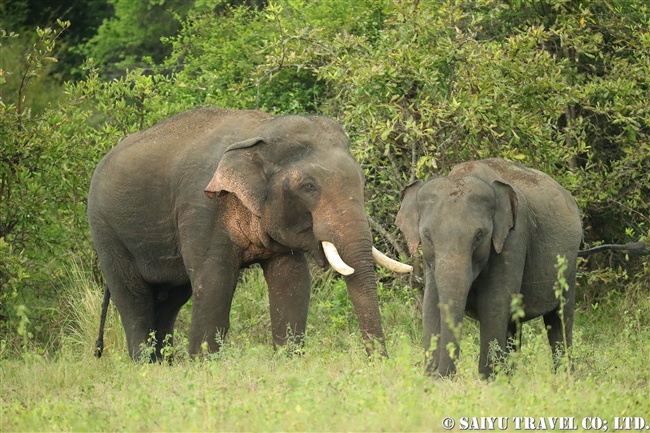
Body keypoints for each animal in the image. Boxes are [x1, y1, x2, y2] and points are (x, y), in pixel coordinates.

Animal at [87, 108, 410, 362]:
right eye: (308, 187)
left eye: (363, 179)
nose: (379, 362)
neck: (260, 131)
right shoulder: (201, 207)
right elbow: (214, 282)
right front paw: (204, 367)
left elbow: (292, 282)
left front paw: (289, 362)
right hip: (106, 231)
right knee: (134, 299)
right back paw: (145, 366)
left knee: (170, 298)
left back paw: (164, 365)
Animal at [394, 157, 584, 376]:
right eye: (427, 236)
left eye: (479, 236)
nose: (441, 373)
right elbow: (431, 304)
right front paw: (431, 377)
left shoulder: (514, 237)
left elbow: (494, 304)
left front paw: (488, 378)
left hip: (570, 265)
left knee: (560, 318)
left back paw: (565, 376)